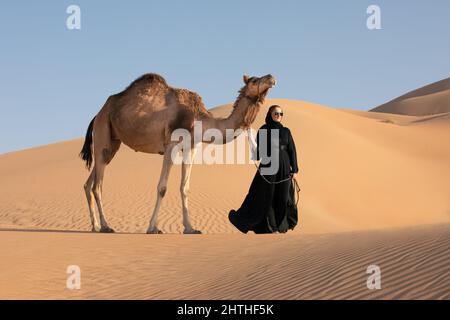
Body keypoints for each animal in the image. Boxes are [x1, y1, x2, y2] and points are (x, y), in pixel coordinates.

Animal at [79, 73, 276, 235]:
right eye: (254, 80)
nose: (272, 77)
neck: (199, 119)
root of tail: (97, 114)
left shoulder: (191, 148)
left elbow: (185, 187)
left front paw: (190, 228)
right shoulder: (170, 145)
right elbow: (162, 188)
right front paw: (153, 227)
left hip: (112, 142)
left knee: (89, 182)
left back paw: (95, 226)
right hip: (103, 131)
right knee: (97, 185)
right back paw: (106, 226)